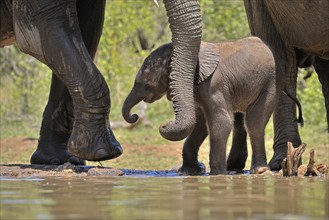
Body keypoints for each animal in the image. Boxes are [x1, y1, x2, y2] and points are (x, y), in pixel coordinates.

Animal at [121, 37, 298, 174]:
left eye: (145, 86)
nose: (134, 116)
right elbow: (200, 123)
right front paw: (191, 171)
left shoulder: (213, 85)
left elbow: (220, 122)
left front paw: (217, 174)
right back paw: (234, 168)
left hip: (271, 82)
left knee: (254, 122)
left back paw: (258, 170)